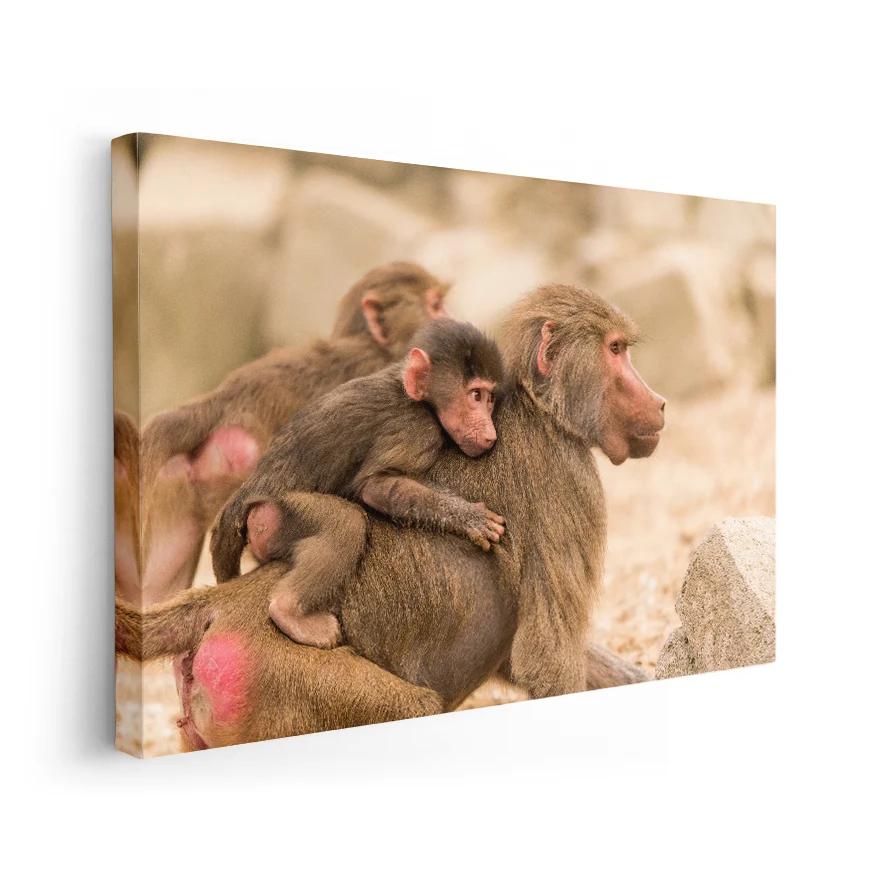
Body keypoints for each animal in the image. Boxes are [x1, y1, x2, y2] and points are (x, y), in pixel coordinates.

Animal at [209, 319, 507, 649]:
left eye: (490, 398)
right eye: (475, 396)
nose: (490, 433)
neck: (417, 397)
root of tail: (246, 495)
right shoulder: (415, 428)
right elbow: (377, 486)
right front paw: (470, 517)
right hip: (276, 516)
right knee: (346, 523)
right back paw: (289, 612)